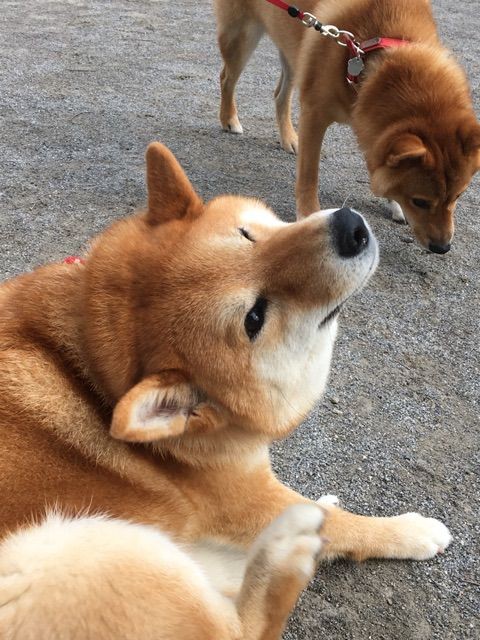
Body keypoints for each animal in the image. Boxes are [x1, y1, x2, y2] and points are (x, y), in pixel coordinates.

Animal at [0, 145, 450, 640]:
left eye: (248, 234)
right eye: (255, 317)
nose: (350, 227)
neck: (88, 378)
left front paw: (321, 508)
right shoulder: (245, 499)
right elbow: (353, 527)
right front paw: (411, 532)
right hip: (77, 551)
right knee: (243, 627)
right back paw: (292, 544)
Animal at [216, 0, 480, 255]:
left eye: (457, 196)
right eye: (420, 202)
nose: (442, 248)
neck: (373, 55)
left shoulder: (368, 125)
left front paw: (394, 204)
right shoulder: (314, 114)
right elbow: (309, 175)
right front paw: (309, 214)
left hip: (294, 55)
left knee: (280, 94)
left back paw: (288, 138)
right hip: (242, 36)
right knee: (226, 78)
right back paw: (230, 119)